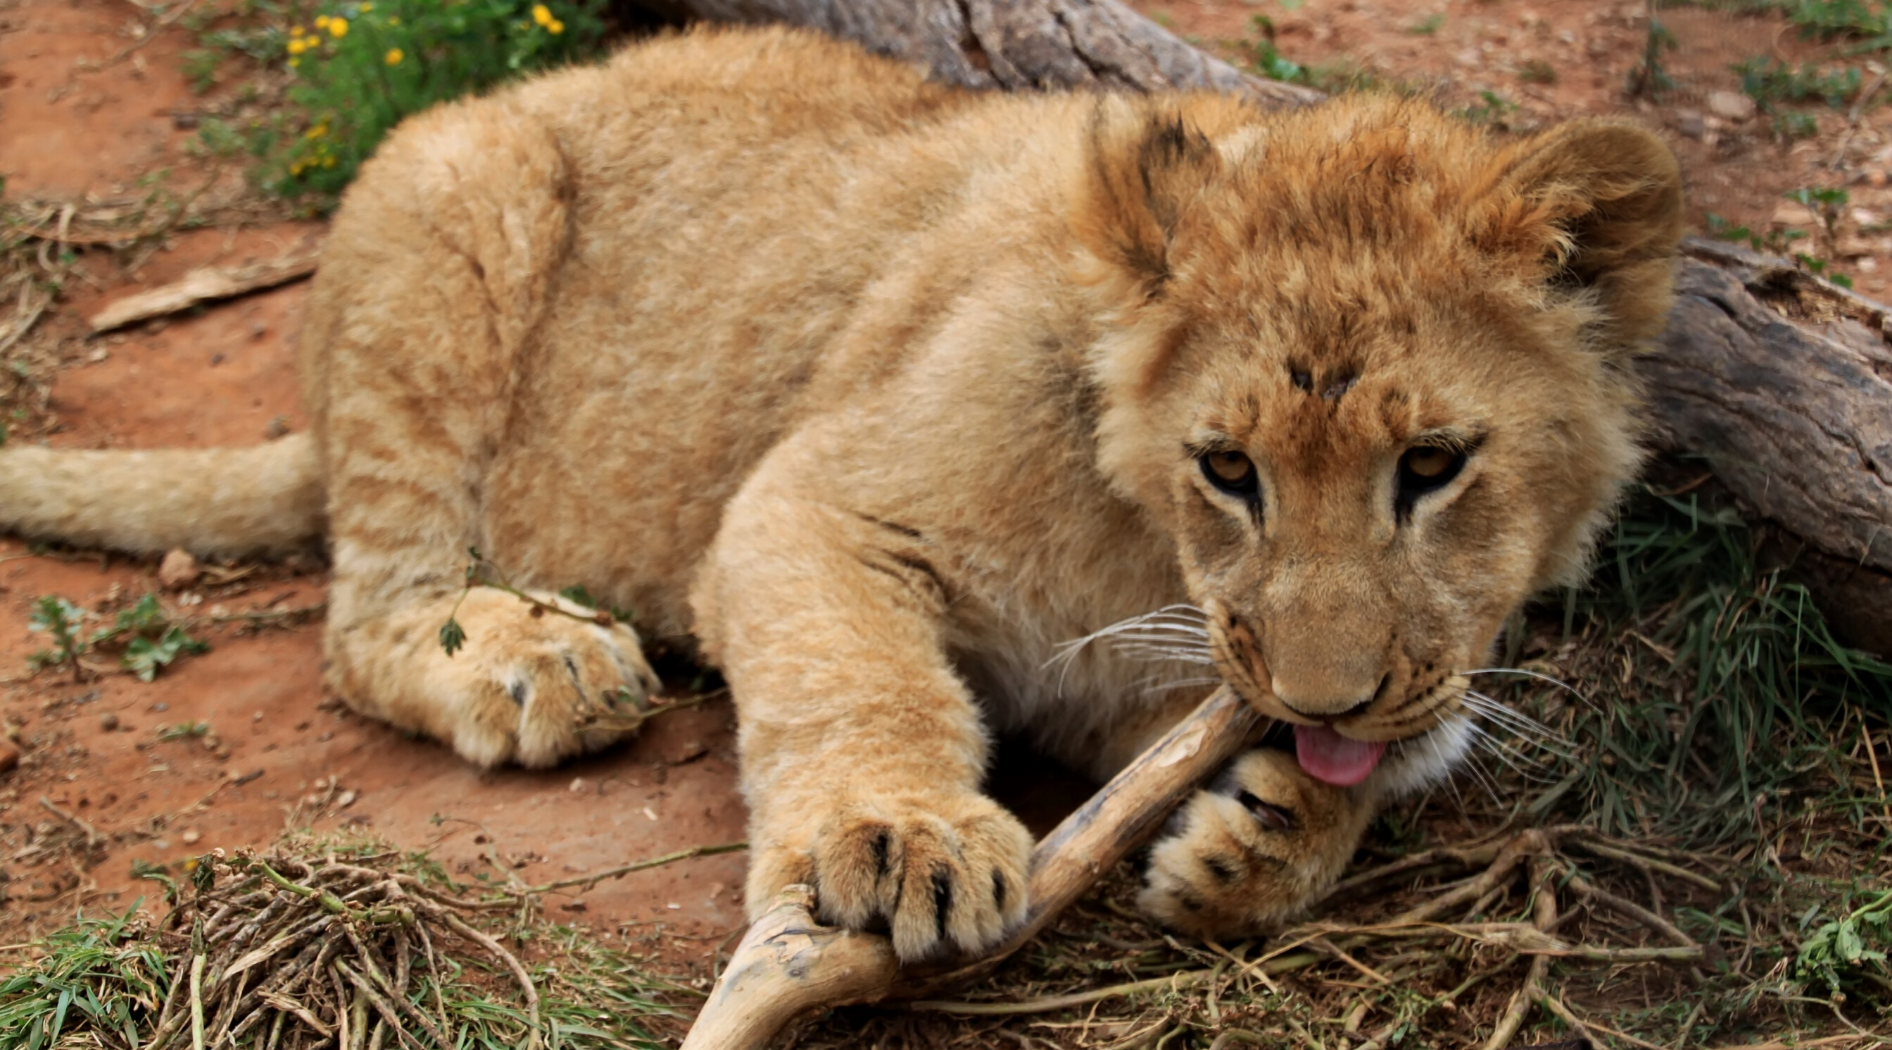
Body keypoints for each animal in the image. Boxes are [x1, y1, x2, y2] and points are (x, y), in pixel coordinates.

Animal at [0, 26, 1687, 961]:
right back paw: (537, 656)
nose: (1329, 706)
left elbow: (1383, 734)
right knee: (364, 618)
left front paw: (1271, 833)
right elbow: (857, 671)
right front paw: (896, 843)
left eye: (1433, 466)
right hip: (456, 196)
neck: (1149, 550)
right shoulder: (812, 500)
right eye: (1228, 468)